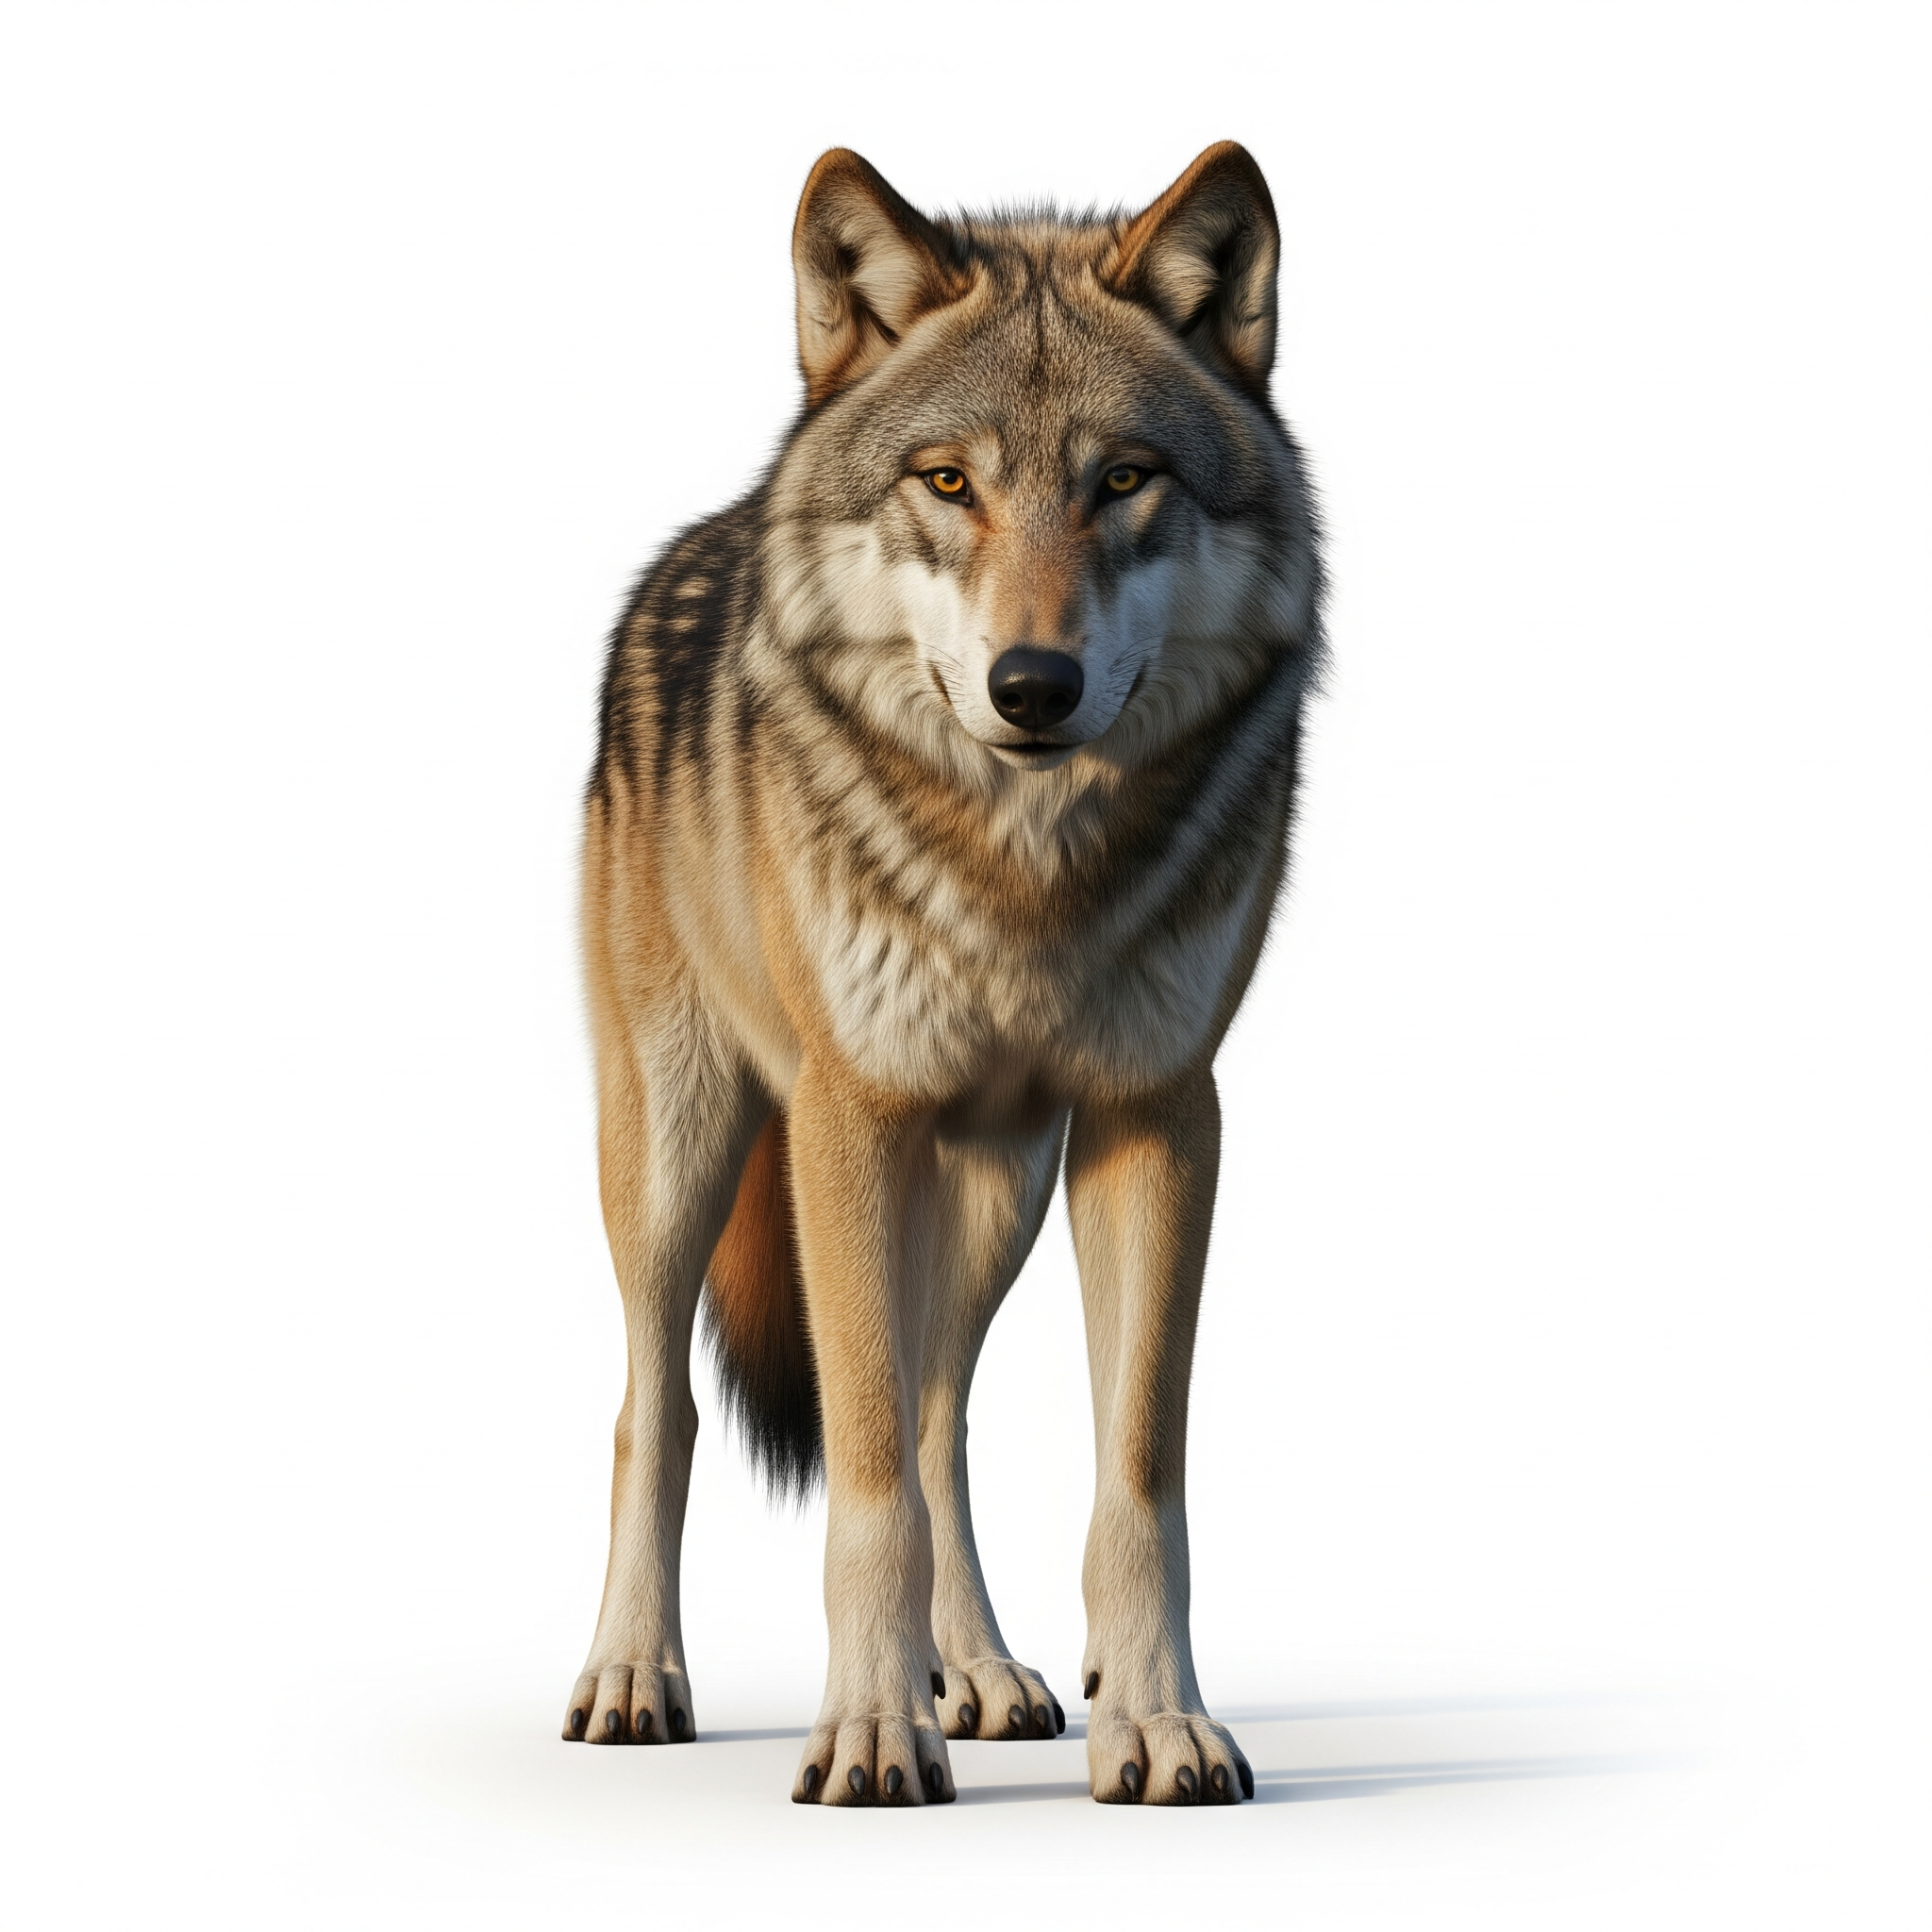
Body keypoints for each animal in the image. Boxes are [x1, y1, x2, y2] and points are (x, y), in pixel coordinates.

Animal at [564, 141, 1325, 1806]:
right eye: (949, 483)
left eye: (1124, 480)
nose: (1031, 686)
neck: (1022, 870)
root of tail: (707, 532)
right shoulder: (850, 1119)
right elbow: (855, 1484)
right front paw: (866, 1731)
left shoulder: (1160, 1115)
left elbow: (1131, 1480)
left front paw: (1156, 1724)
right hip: (685, 1149)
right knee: (658, 1409)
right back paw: (635, 1678)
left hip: (993, 1191)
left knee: (935, 1412)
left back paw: (974, 1671)